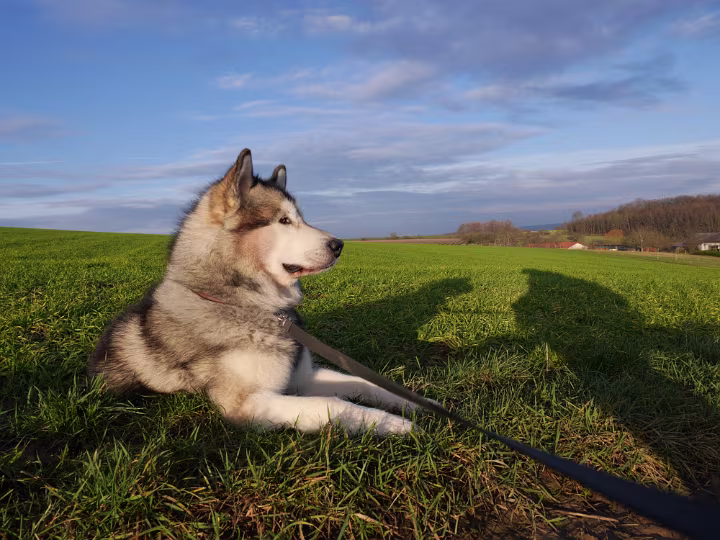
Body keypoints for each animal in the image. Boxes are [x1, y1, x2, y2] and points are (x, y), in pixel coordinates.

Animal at [89, 149, 417, 435]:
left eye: (300, 218)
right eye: (284, 220)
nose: (339, 246)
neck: (246, 304)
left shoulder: (304, 378)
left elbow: (364, 382)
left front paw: (412, 403)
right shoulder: (246, 403)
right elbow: (332, 404)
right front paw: (392, 424)